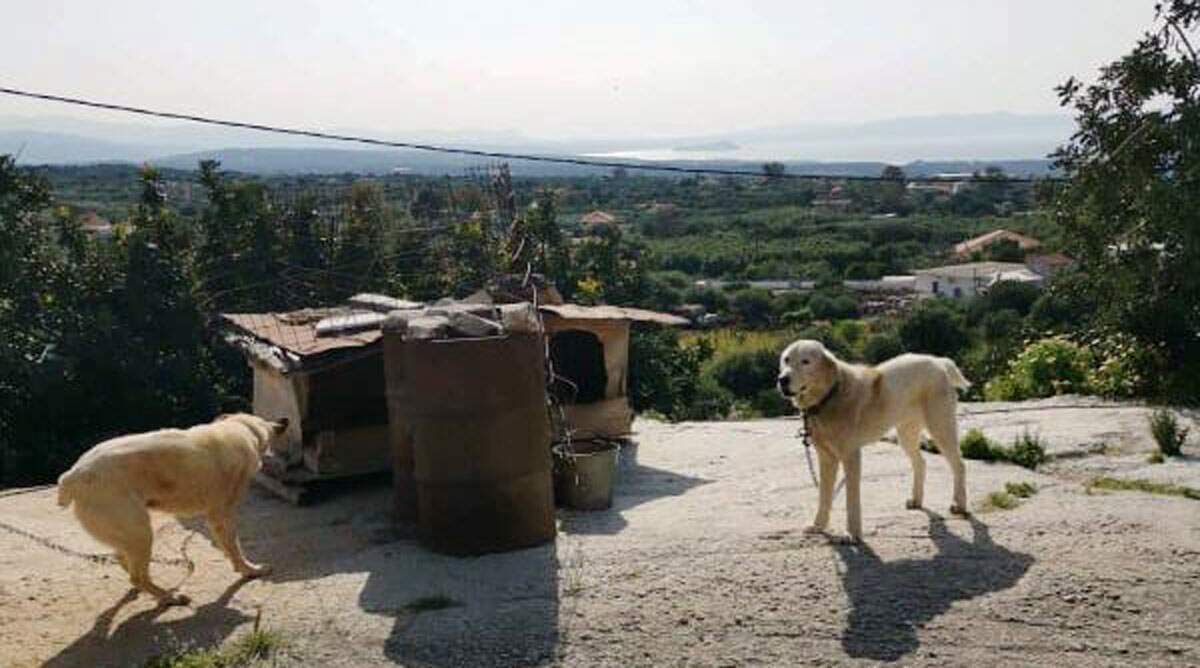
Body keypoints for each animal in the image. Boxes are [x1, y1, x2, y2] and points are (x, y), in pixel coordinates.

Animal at [56, 413, 288, 605]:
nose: (284, 420)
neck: (241, 429)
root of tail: (73, 475)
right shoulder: (221, 516)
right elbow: (235, 550)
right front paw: (250, 570)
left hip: (128, 534)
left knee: (125, 562)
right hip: (141, 534)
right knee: (137, 575)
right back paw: (169, 597)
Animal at [778, 340, 970, 542]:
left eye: (805, 361)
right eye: (786, 360)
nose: (782, 379)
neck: (829, 396)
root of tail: (938, 361)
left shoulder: (851, 457)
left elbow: (851, 500)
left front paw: (852, 534)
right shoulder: (826, 459)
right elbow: (824, 496)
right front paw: (818, 526)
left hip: (940, 428)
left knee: (959, 464)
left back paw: (960, 505)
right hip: (906, 434)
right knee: (921, 463)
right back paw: (916, 501)